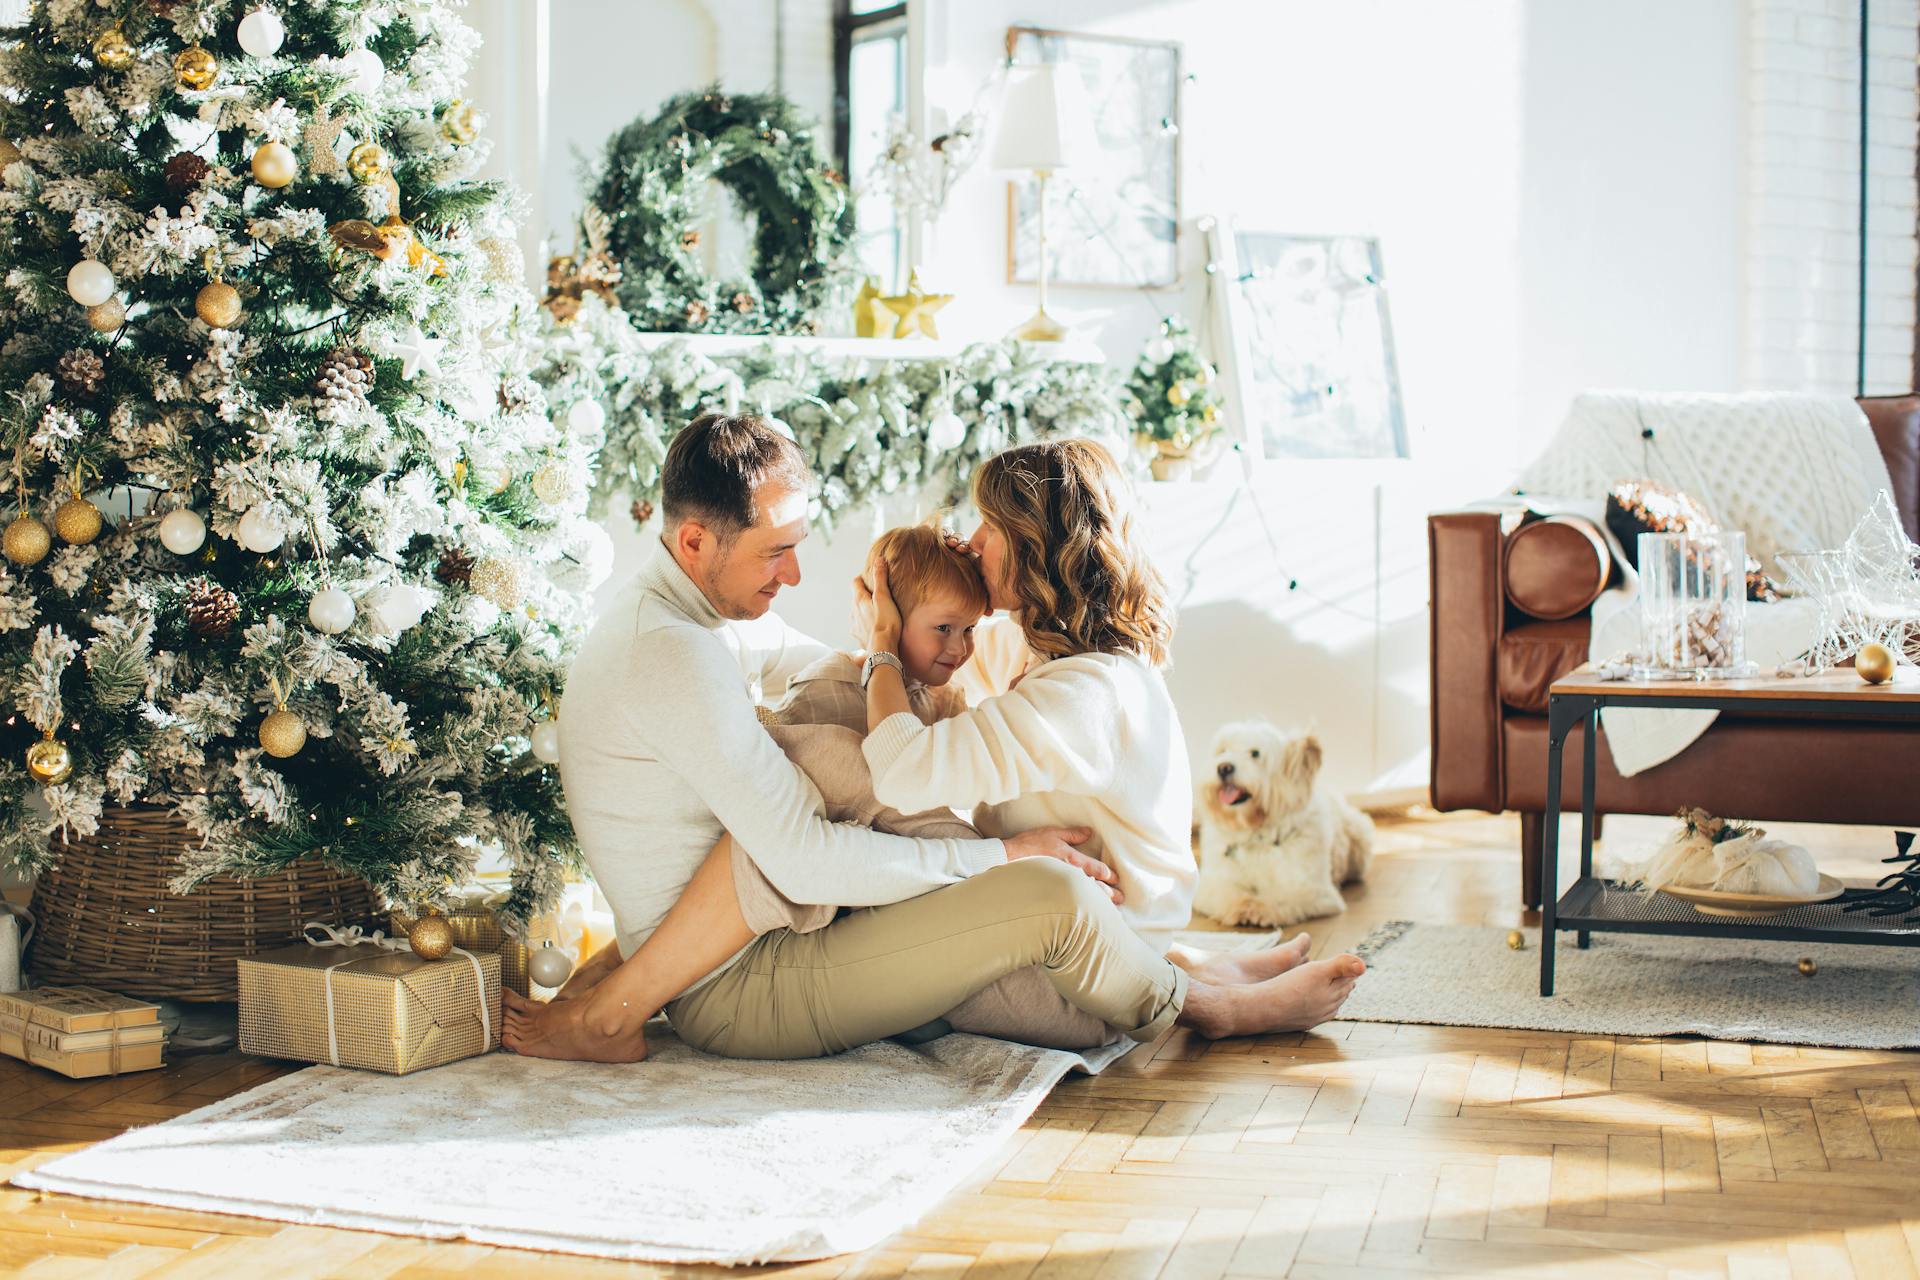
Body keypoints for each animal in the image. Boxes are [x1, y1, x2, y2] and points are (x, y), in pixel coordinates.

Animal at [1190, 725, 1374, 924]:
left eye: (1255, 753)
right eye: (1223, 750)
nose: (1223, 768)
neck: (1256, 832)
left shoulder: (1312, 889)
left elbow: (1281, 896)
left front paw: (1259, 908)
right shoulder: (1213, 884)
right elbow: (1228, 894)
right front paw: (1242, 905)